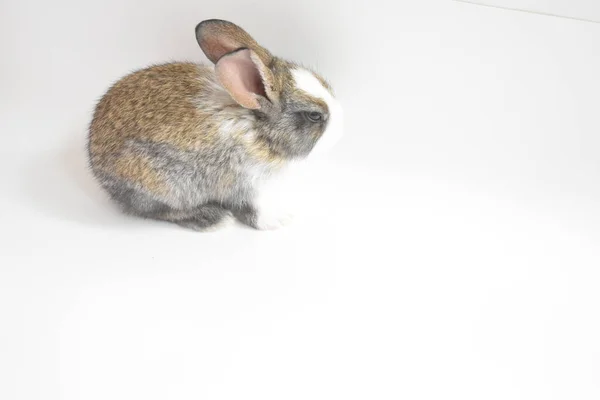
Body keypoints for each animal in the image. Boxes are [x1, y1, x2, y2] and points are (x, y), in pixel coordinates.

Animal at [86, 19, 344, 231]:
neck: (258, 129)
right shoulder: (244, 183)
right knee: (158, 211)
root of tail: (96, 166)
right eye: (314, 116)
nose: (342, 128)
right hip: (158, 184)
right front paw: (278, 219)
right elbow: (251, 210)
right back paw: (210, 218)